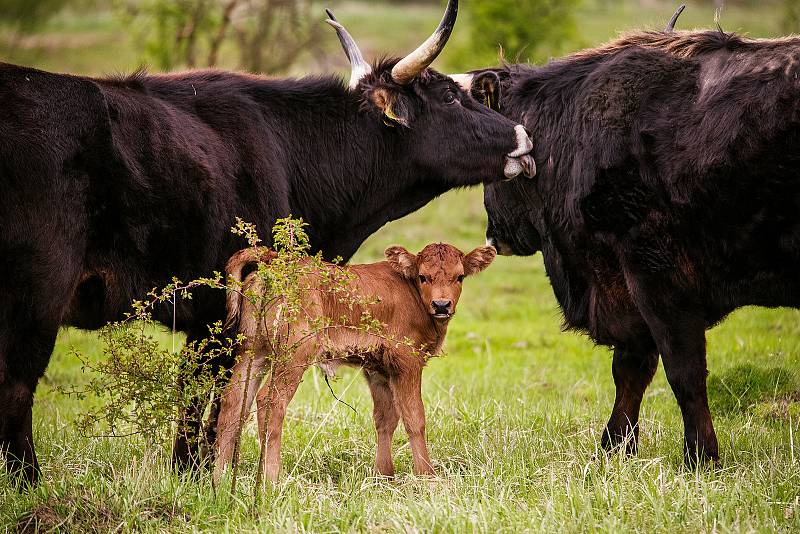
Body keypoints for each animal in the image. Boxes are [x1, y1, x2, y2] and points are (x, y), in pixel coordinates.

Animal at [212, 244, 494, 486]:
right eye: (423, 277)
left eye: (459, 277)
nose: (442, 305)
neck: (410, 291)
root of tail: (273, 263)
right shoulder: (407, 362)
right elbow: (415, 418)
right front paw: (427, 477)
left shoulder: (378, 368)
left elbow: (386, 417)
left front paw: (384, 476)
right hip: (294, 355)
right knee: (269, 403)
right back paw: (271, 481)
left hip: (252, 351)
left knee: (233, 403)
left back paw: (219, 481)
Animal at [460, 24, 796, 464]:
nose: (494, 234)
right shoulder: (622, 283)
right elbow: (631, 369)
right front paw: (615, 445)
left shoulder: (655, 272)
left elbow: (683, 371)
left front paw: (701, 455)